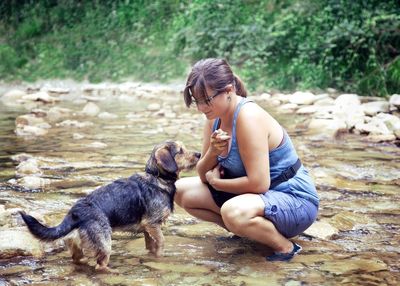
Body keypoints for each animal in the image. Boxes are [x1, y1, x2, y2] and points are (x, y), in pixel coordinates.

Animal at [19, 142, 200, 272]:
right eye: (181, 151)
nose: (199, 154)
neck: (157, 177)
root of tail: (75, 212)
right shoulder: (153, 224)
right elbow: (161, 242)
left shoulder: (147, 230)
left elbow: (151, 247)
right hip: (105, 242)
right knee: (100, 265)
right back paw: (112, 271)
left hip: (78, 243)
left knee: (77, 258)